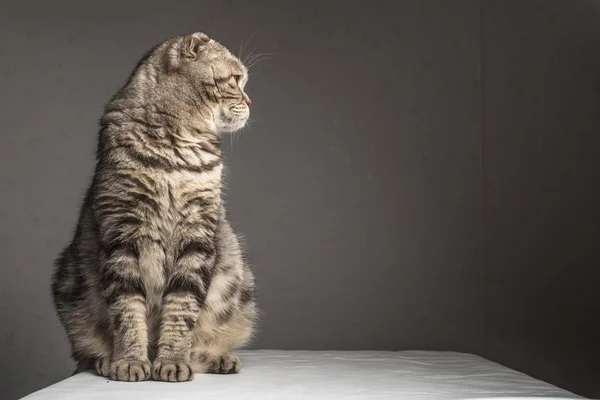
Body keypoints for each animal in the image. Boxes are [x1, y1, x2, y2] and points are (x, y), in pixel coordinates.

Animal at [51, 31, 255, 382]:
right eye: (235, 80)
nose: (251, 101)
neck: (176, 153)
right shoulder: (122, 233)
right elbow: (127, 310)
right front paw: (131, 361)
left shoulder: (198, 235)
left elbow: (182, 307)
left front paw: (172, 360)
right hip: (67, 283)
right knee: (86, 353)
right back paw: (106, 360)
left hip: (240, 277)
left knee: (207, 342)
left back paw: (218, 358)